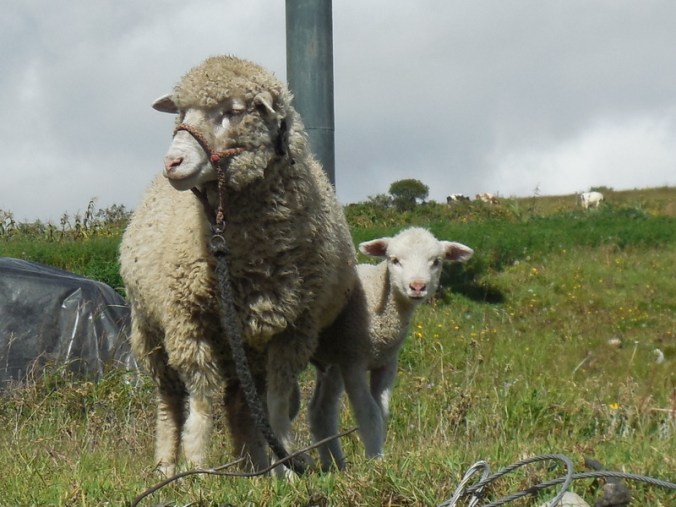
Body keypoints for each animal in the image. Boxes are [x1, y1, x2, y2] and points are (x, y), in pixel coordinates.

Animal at [119, 55, 357, 476]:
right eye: (181, 112)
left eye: (231, 112)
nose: (172, 162)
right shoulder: (188, 323)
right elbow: (200, 399)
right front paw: (197, 470)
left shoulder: (292, 329)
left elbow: (276, 404)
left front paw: (286, 469)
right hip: (150, 332)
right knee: (170, 400)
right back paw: (167, 466)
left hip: (245, 346)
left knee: (240, 405)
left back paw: (253, 466)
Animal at [308, 226, 474, 470]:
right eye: (394, 260)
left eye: (436, 261)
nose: (417, 286)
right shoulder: (354, 362)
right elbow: (370, 413)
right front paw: (375, 462)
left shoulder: (386, 363)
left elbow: (382, 412)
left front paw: (377, 454)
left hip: (334, 361)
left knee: (321, 411)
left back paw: (335, 466)